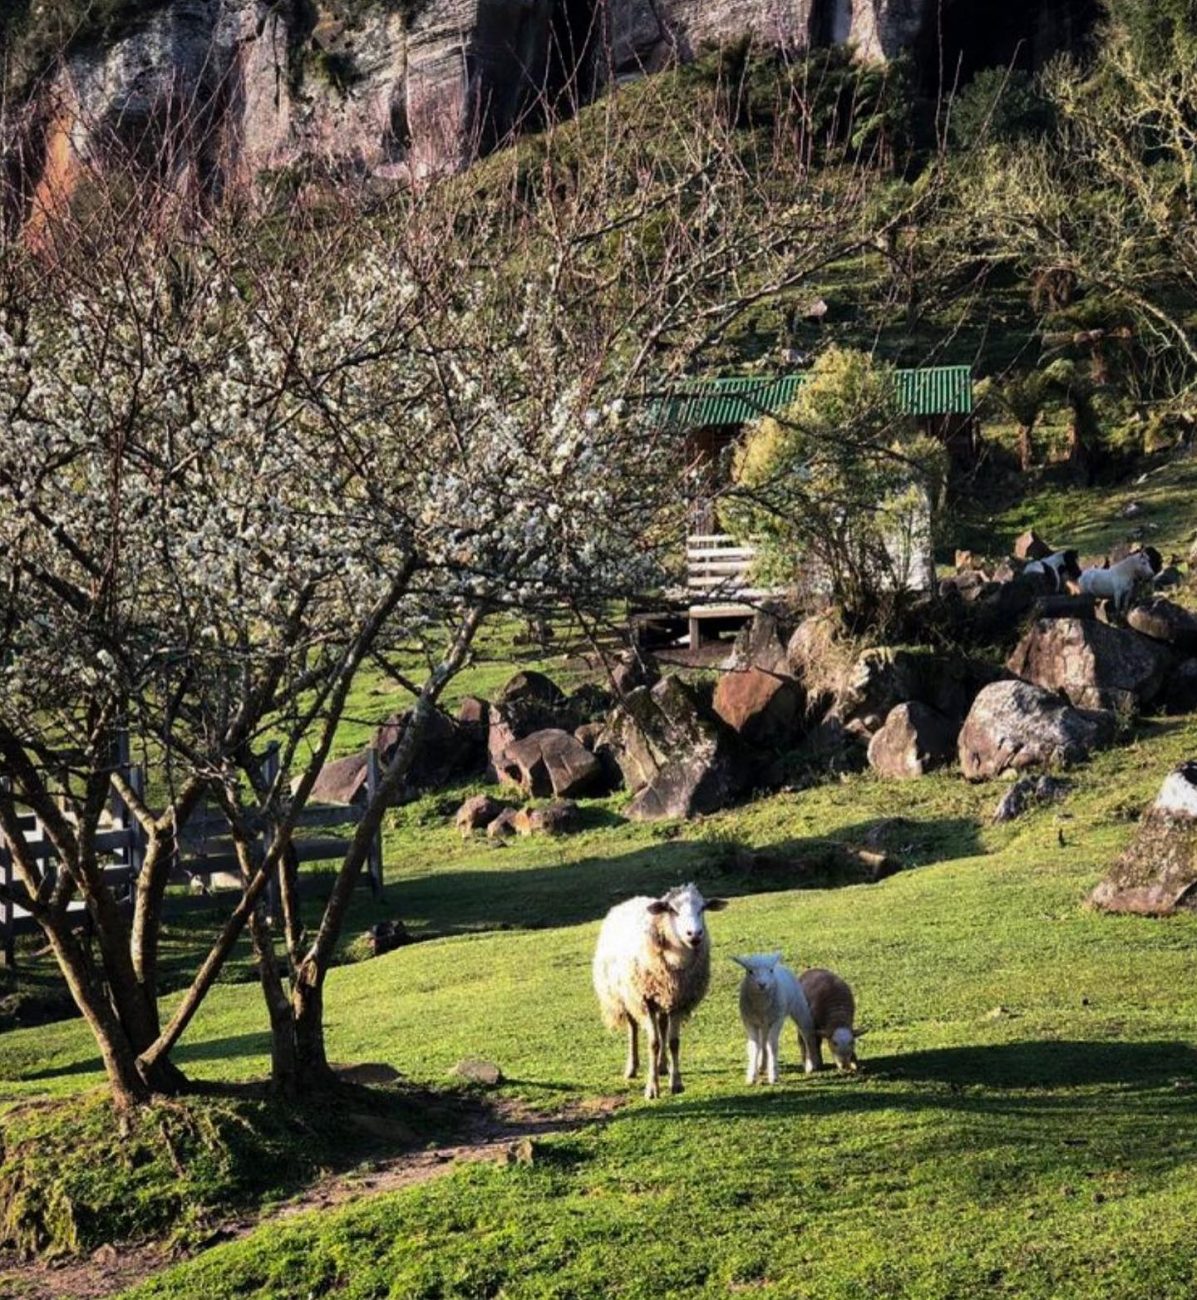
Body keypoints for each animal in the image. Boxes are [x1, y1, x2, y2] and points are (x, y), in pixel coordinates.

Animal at [590, 883, 722, 1097]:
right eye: (672, 910)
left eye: (702, 908)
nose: (694, 935)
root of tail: (631, 899)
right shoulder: (645, 1001)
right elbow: (653, 1043)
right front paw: (652, 1088)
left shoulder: (678, 999)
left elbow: (673, 1041)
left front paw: (676, 1083)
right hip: (625, 996)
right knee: (633, 1029)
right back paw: (632, 1068)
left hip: (662, 998)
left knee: (662, 1025)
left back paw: (662, 1065)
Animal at [727, 951, 810, 1081]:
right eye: (750, 971)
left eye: (771, 970)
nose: (762, 984)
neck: (762, 1005)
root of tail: (779, 964)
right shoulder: (749, 1022)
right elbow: (754, 1047)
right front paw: (751, 1075)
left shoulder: (777, 1020)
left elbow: (772, 1045)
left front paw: (773, 1075)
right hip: (763, 1024)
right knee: (763, 1041)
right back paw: (762, 1065)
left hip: (799, 1006)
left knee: (806, 1031)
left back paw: (810, 1064)